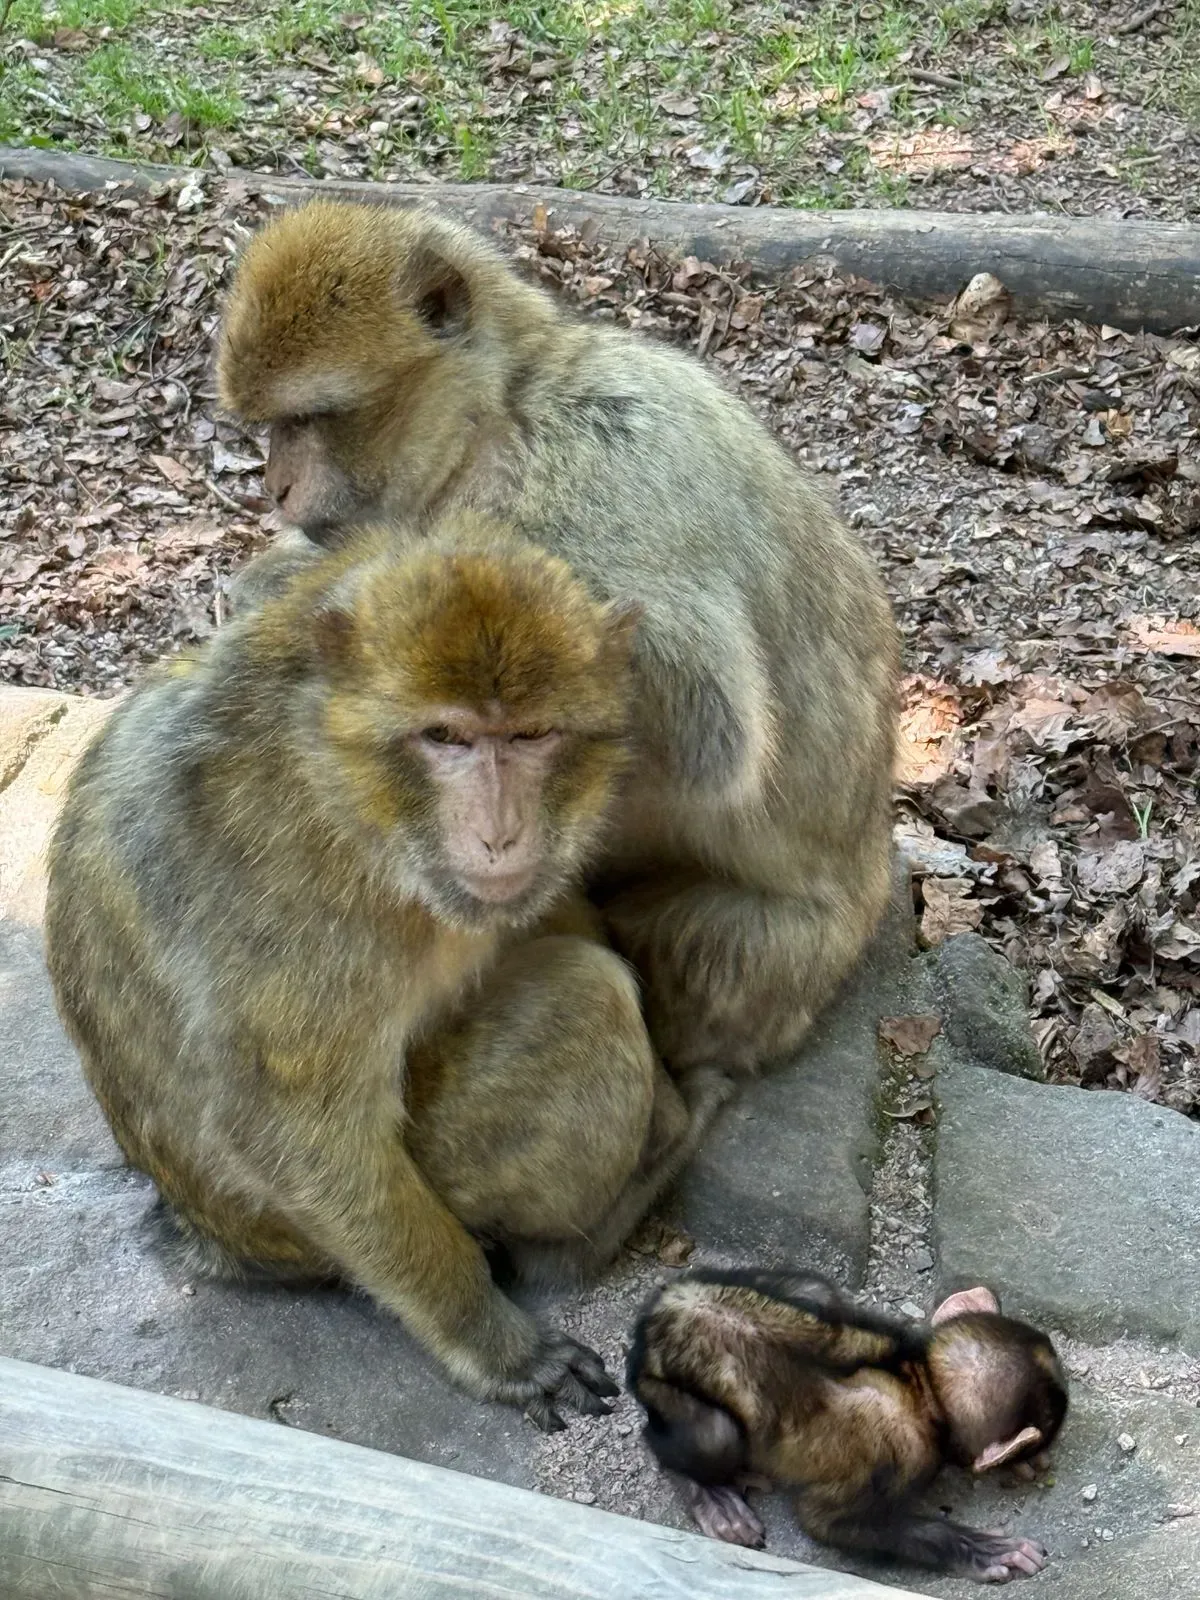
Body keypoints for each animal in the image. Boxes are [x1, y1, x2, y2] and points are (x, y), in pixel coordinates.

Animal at [45, 511, 731, 1429]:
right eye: (445, 737)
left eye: (531, 734)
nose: (500, 833)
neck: (353, 796)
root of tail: (210, 1239)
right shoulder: (296, 897)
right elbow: (291, 1127)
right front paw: (492, 1342)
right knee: (585, 1000)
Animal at [215, 200, 901, 1083]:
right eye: (269, 428)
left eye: (308, 420)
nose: (275, 486)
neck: (504, 417)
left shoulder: (610, 450)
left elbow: (710, 722)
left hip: (793, 960)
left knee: (710, 940)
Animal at [627, 1267, 1068, 1583]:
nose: (1035, 1454)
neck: (919, 1383)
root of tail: (656, 1312)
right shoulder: (904, 1454)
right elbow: (828, 1522)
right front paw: (976, 1548)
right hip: (664, 1391)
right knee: (710, 1439)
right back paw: (711, 1493)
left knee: (818, 1291)